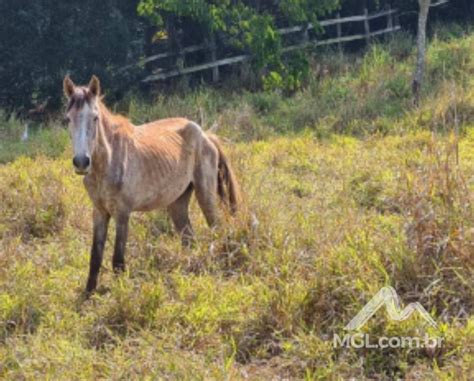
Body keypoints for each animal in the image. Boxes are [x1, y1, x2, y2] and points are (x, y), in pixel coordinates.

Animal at [63, 75, 241, 292]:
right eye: (68, 119)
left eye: (95, 118)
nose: (81, 162)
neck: (109, 159)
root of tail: (206, 135)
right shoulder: (99, 212)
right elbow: (95, 257)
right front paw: (88, 294)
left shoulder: (122, 213)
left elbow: (118, 261)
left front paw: (121, 293)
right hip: (178, 203)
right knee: (189, 239)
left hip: (205, 195)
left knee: (216, 228)